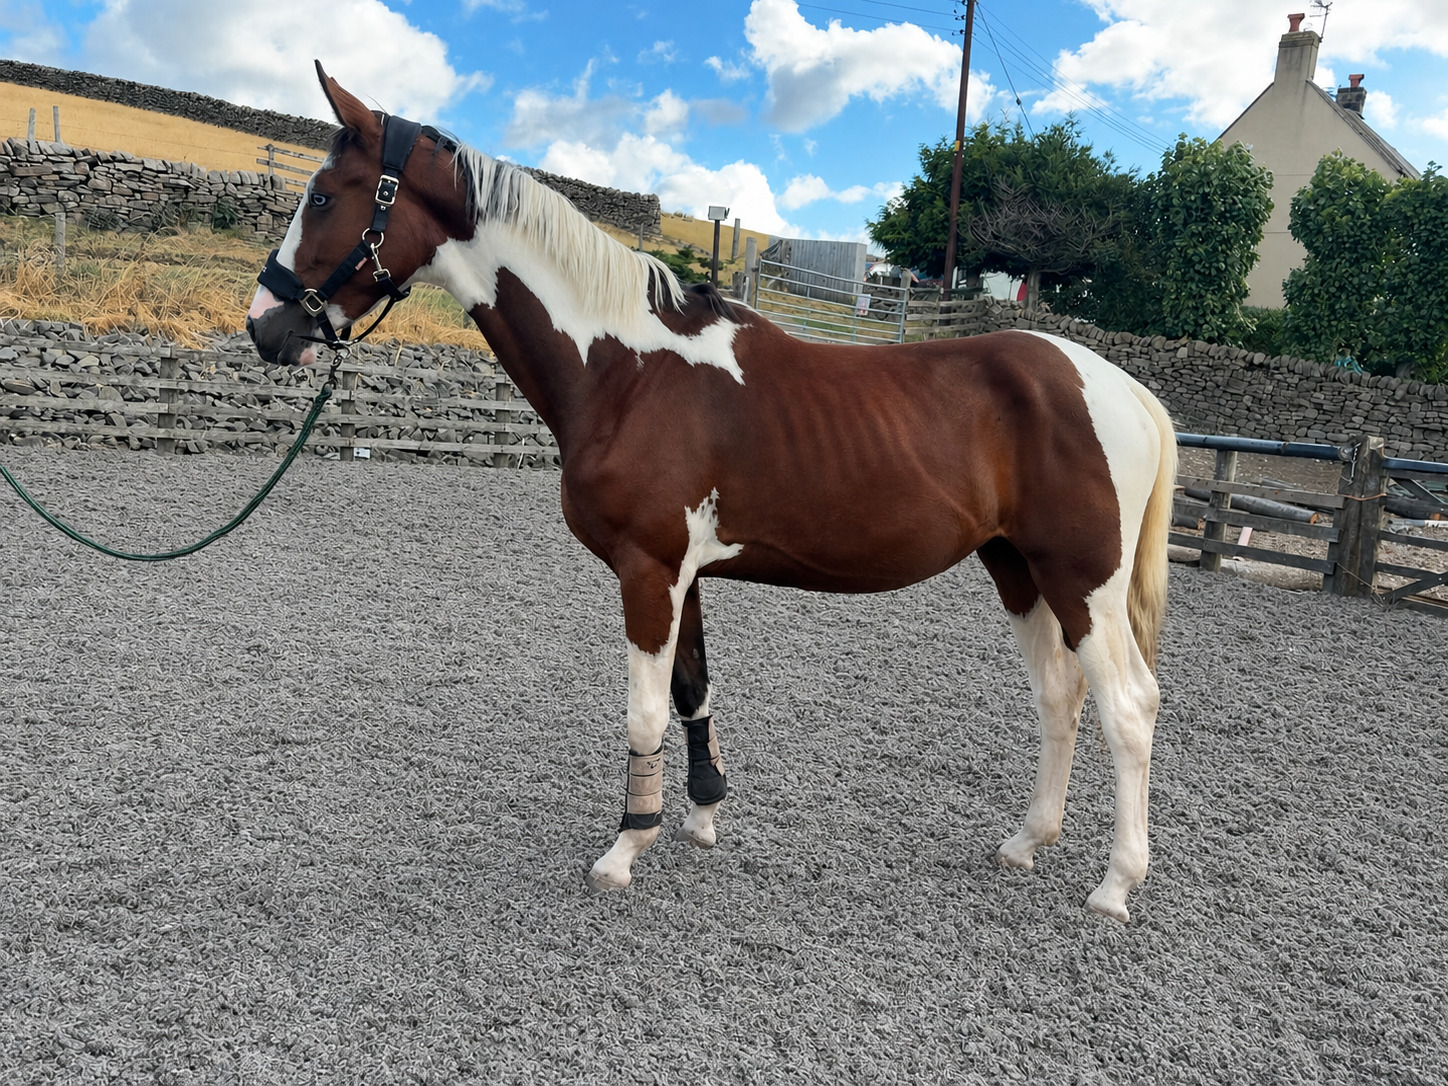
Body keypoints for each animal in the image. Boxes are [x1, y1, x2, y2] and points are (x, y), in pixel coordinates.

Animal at [247, 64, 1179, 922]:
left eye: (324, 196)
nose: (266, 327)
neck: (624, 369)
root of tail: (1128, 392)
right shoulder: (682, 573)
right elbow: (692, 692)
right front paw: (697, 816)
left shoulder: (647, 570)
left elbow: (644, 712)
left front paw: (627, 847)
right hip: (1018, 569)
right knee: (1061, 696)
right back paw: (1027, 841)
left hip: (1079, 580)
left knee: (1130, 709)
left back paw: (1115, 885)